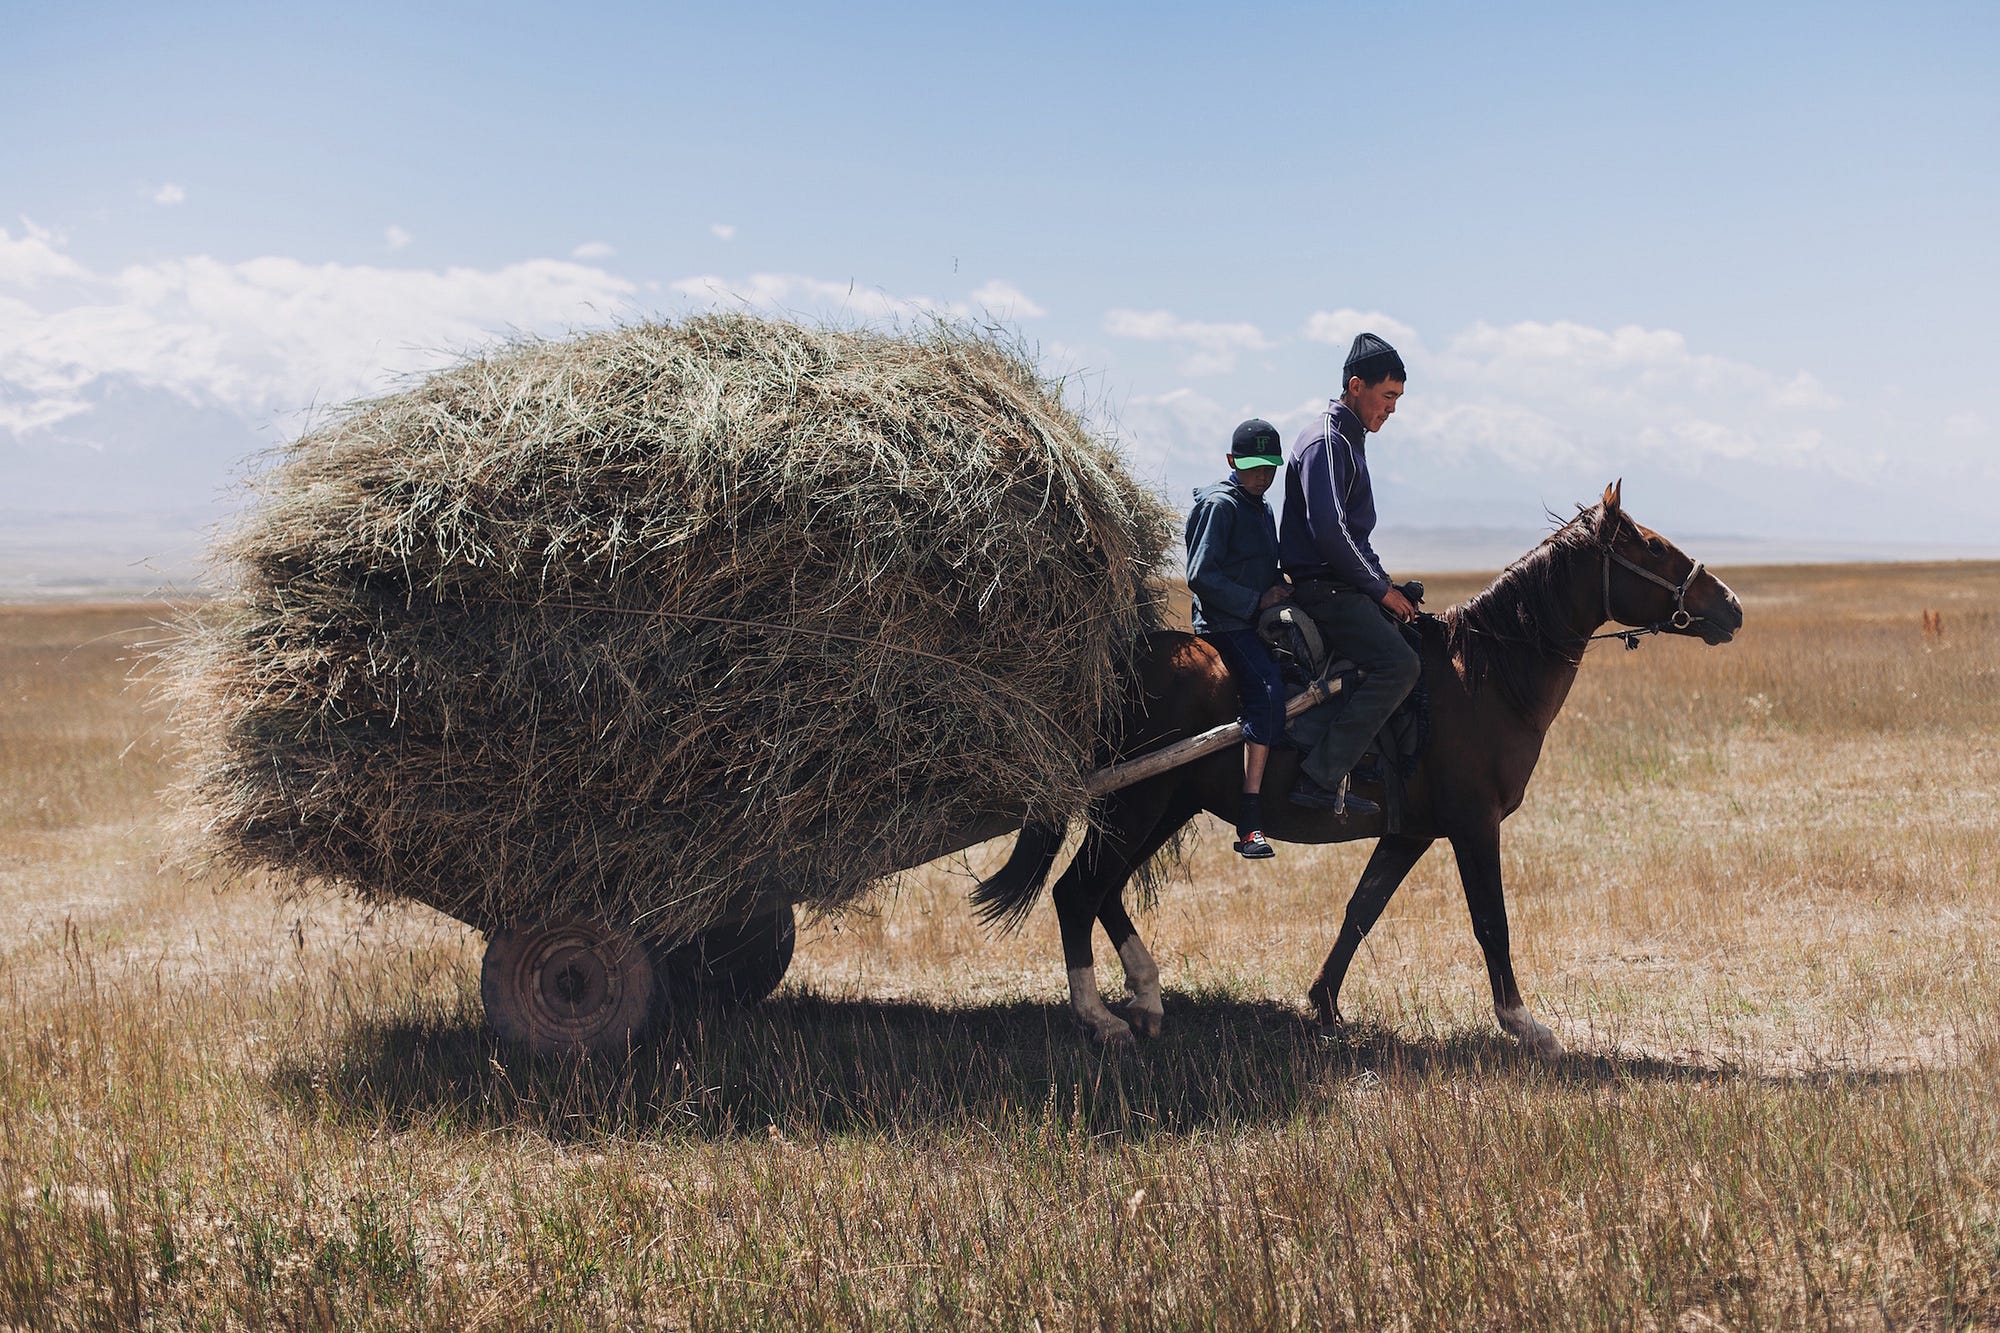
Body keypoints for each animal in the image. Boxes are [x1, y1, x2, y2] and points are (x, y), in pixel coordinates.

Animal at [968, 478, 1736, 1048]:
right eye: (1655, 548)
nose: (1728, 606)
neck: (1485, 676)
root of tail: (1118, 663)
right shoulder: (1473, 825)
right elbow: (1491, 921)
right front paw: (1525, 1025)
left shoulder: (1409, 832)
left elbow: (1360, 911)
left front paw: (1325, 1005)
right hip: (1136, 803)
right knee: (1078, 892)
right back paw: (1099, 1018)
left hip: (1162, 806)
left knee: (1105, 891)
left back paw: (1147, 998)